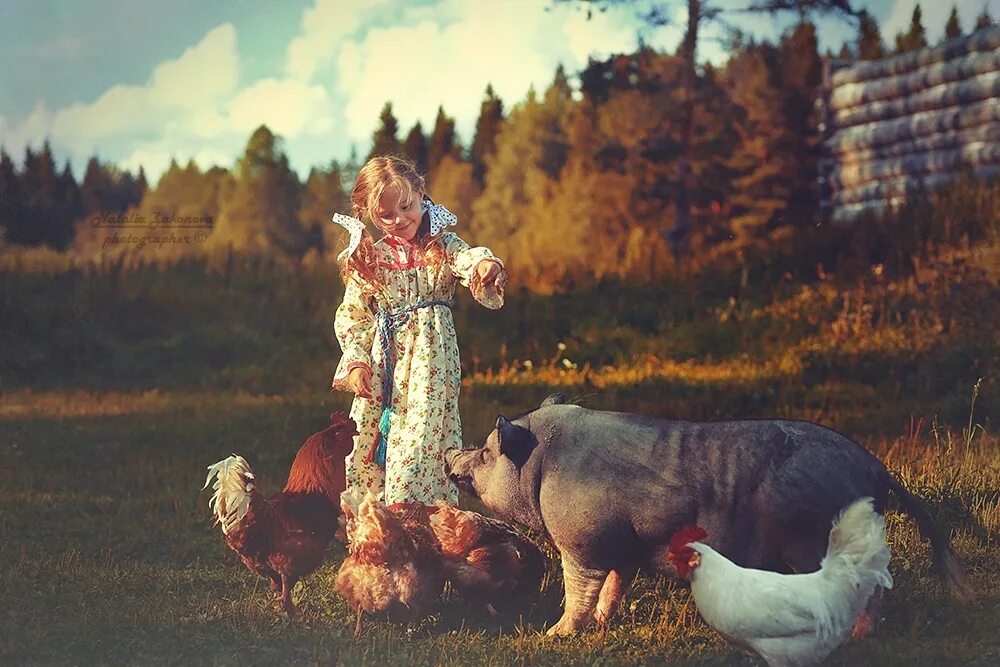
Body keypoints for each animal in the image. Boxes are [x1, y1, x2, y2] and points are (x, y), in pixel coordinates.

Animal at [448, 396, 976, 636]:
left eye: (488, 452)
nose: (453, 454)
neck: (543, 466)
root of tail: (872, 464)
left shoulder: (584, 540)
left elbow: (579, 587)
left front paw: (556, 633)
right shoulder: (625, 546)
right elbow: (616, 585)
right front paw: (599, 624)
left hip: (816, 540)